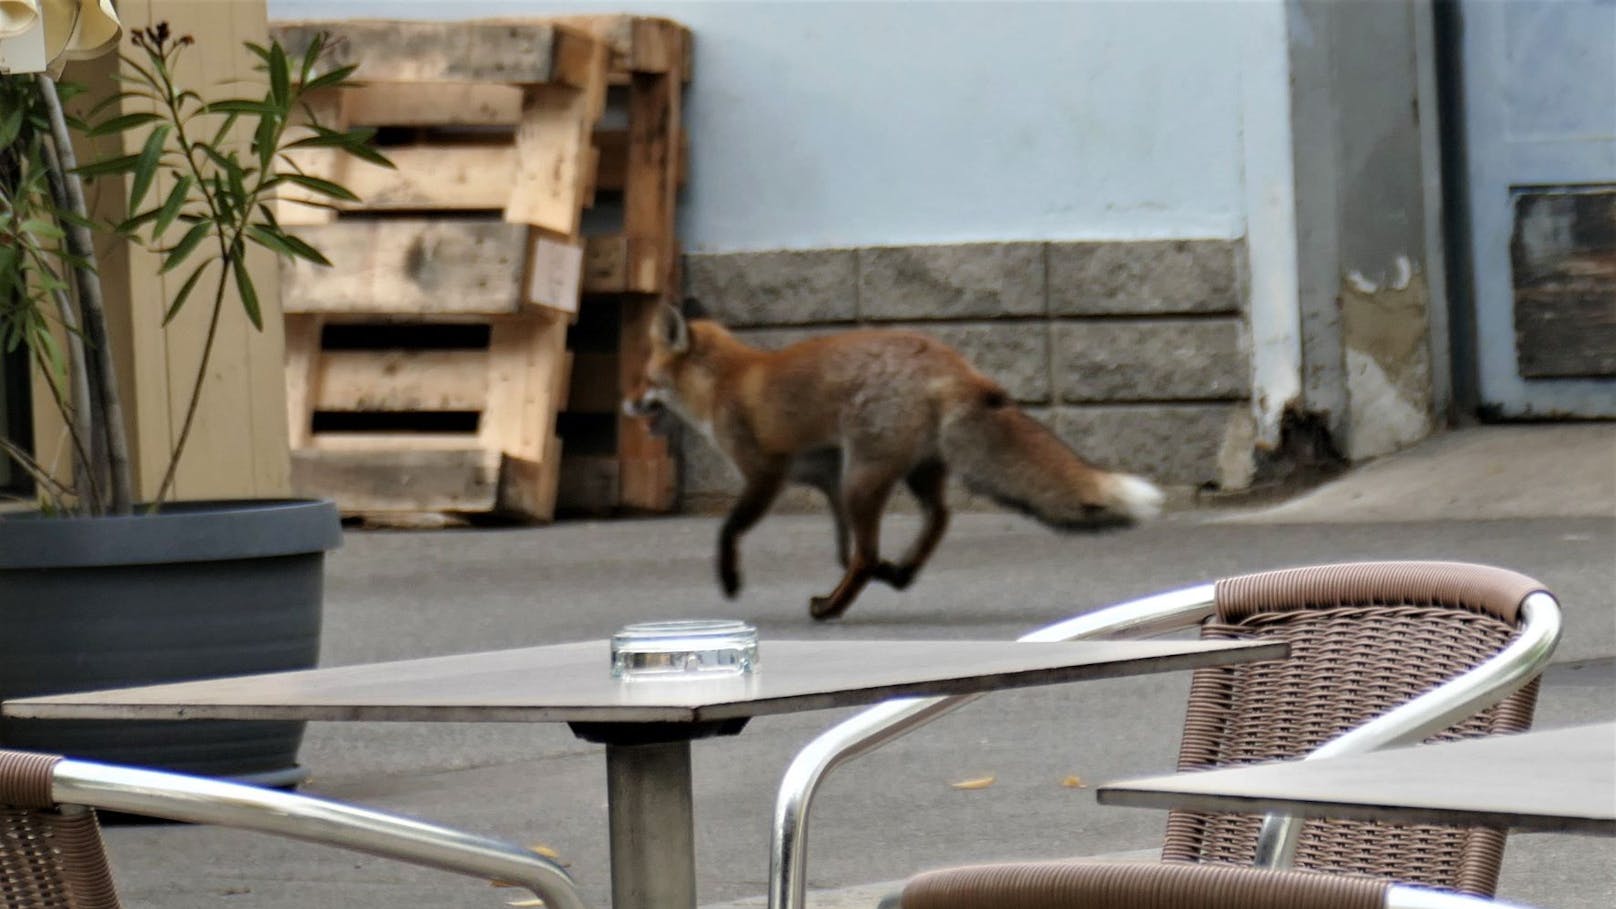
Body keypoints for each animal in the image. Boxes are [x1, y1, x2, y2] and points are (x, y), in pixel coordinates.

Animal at [617, 300, 1163, 617]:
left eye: (646, 379)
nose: (627, 404)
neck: (726, 384)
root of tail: (952, 362)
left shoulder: (766, 472)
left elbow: (729, 531)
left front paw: (730, 580)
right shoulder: (828, 481)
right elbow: (845, 550)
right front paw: (890, 570)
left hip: (865, 477)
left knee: (871, 551)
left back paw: (832, 608)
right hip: (903, 473)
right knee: (936, 519)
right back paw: (899, 572)